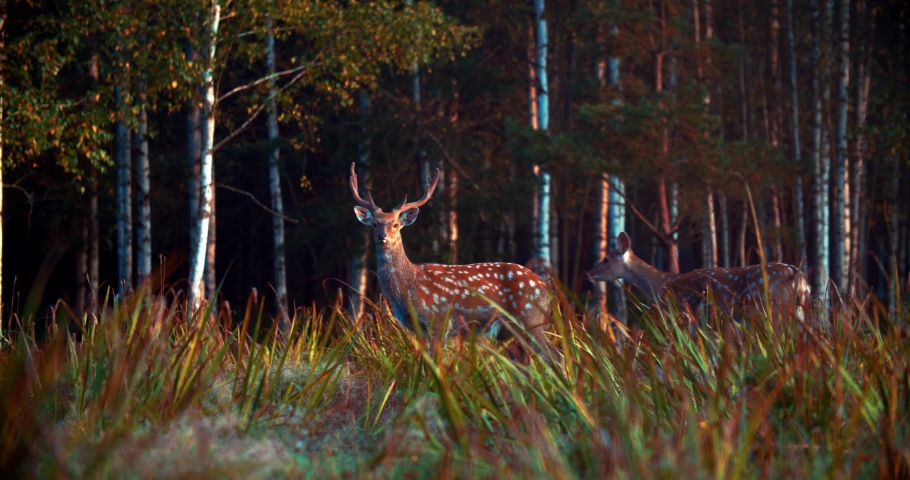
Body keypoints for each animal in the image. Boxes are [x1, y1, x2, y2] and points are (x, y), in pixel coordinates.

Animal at [349, 163, 562, 364]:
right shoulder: (417, 329)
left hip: (530, 318)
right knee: (524, 360)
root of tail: (546, 288)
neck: (409, 288)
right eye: (374, 224)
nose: (382, 236)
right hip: (508, 330)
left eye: (395, 224)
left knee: (555, 356)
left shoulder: (438, 320)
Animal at [589, 232, 811, 323]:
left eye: (606, 260)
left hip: (767, 308)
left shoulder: (683, 314)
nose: (589, 273)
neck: (663, 284)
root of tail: (795, 274)